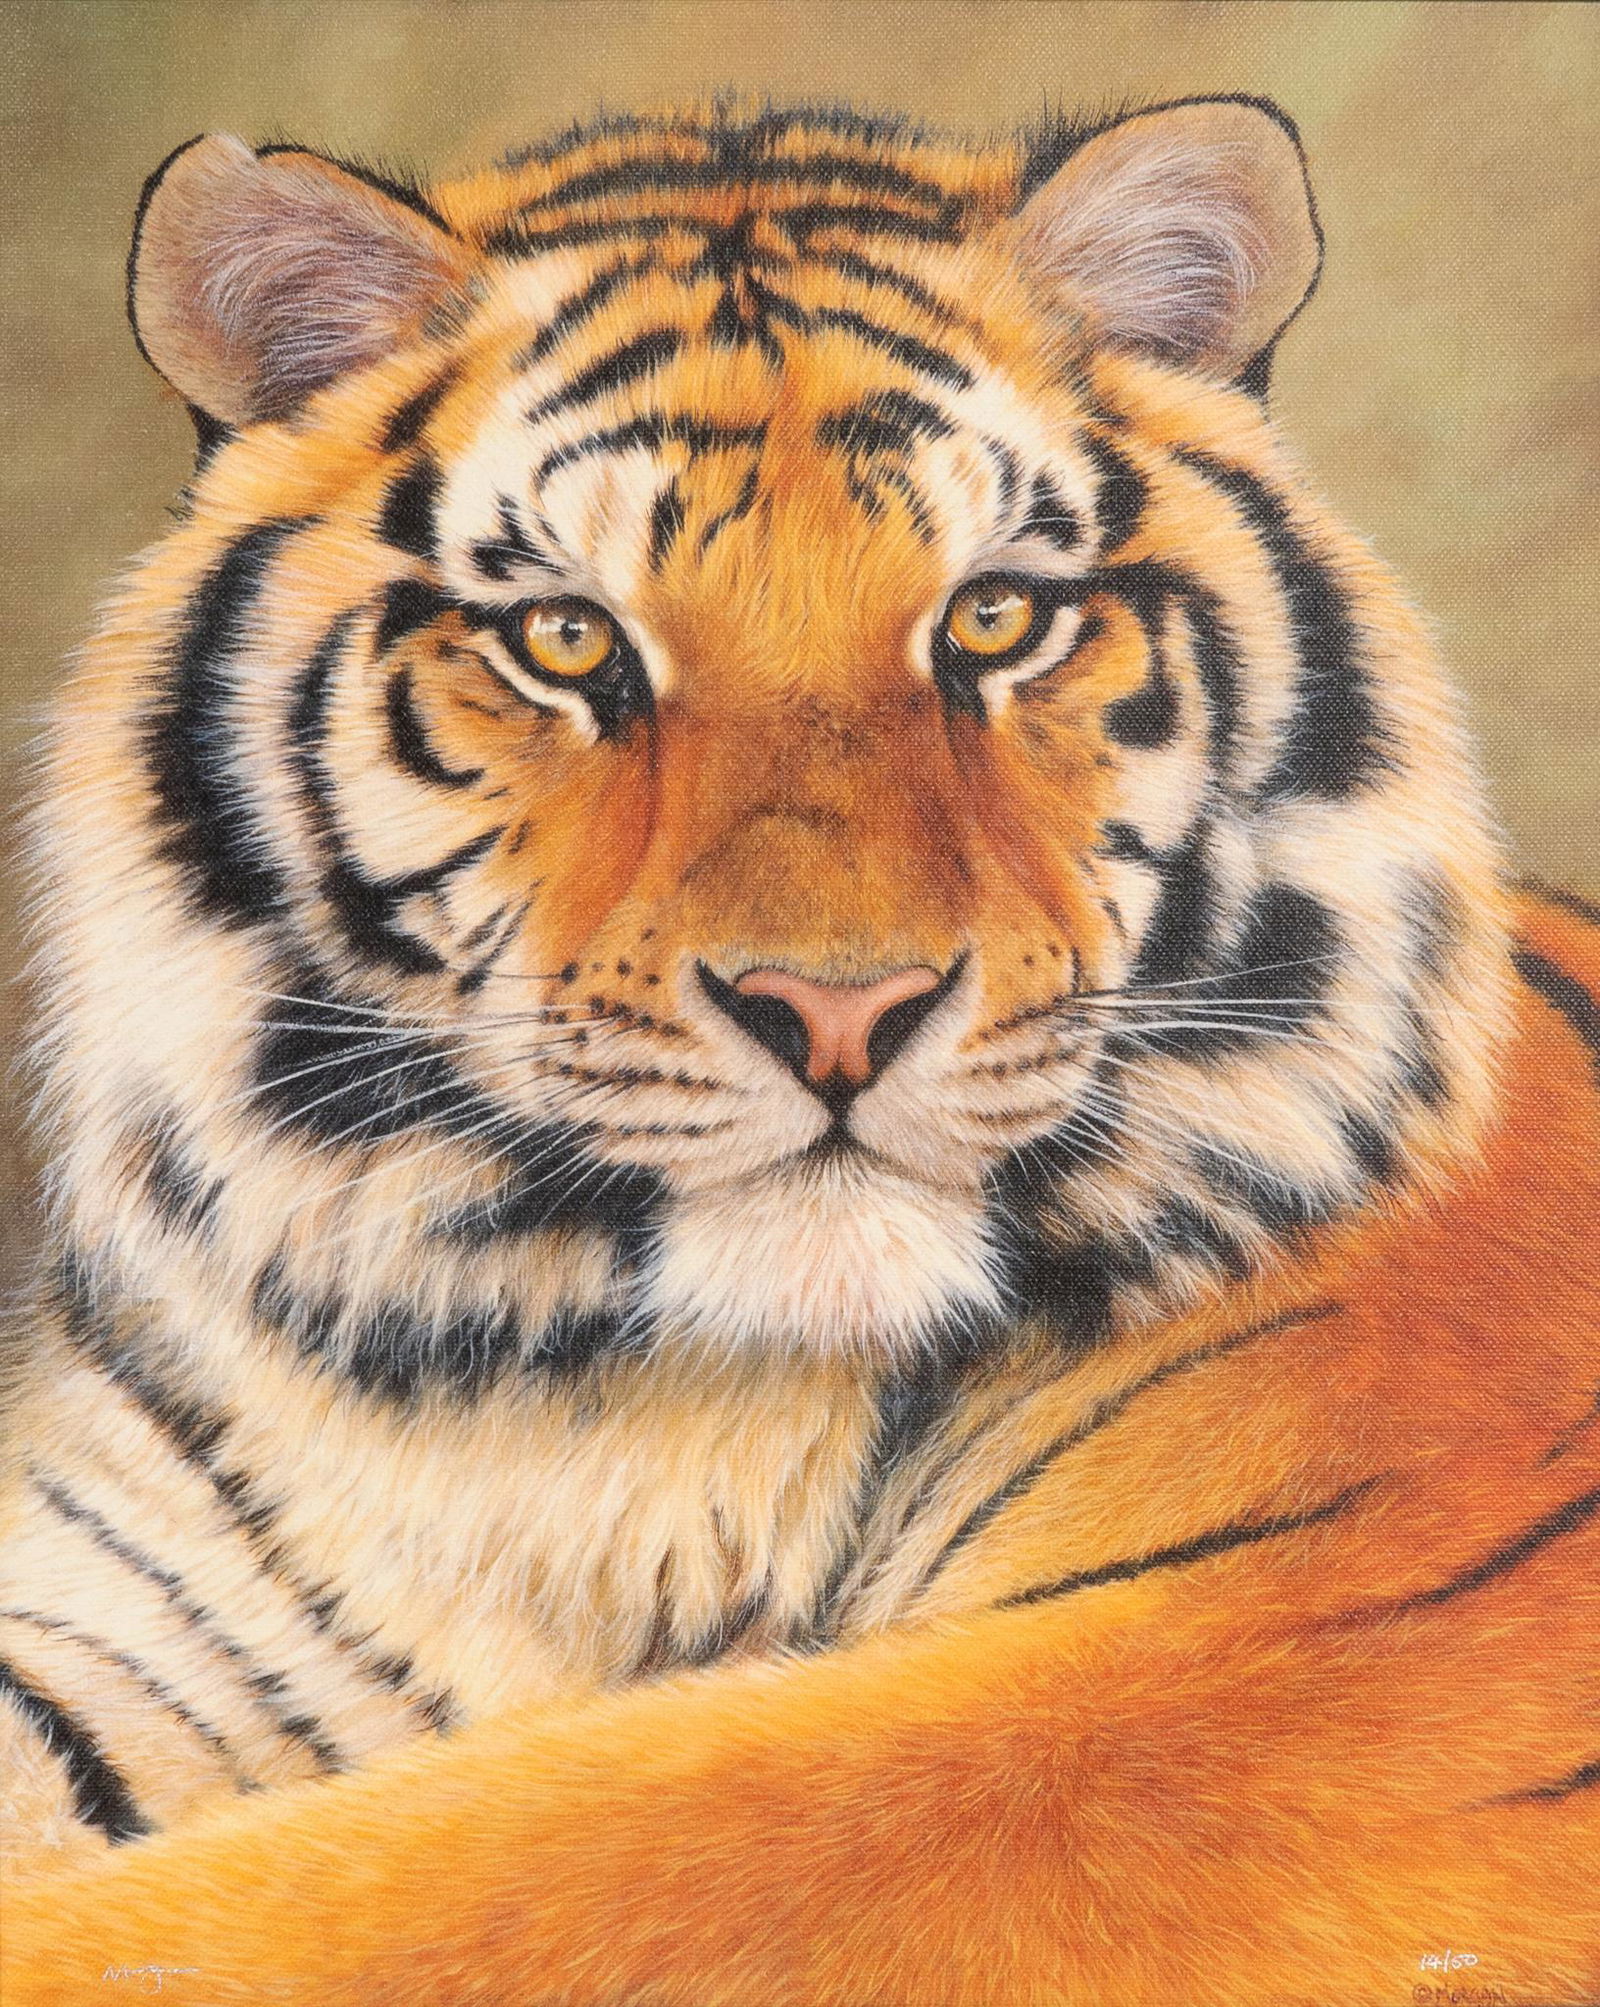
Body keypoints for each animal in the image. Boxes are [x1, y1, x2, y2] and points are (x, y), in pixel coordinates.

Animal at [2, 91, 1597, 2007]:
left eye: (995, 617)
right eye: (567, 637)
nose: (838, 1011)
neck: (595, 1420)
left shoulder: (1281, 1656)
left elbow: (509, 1873)